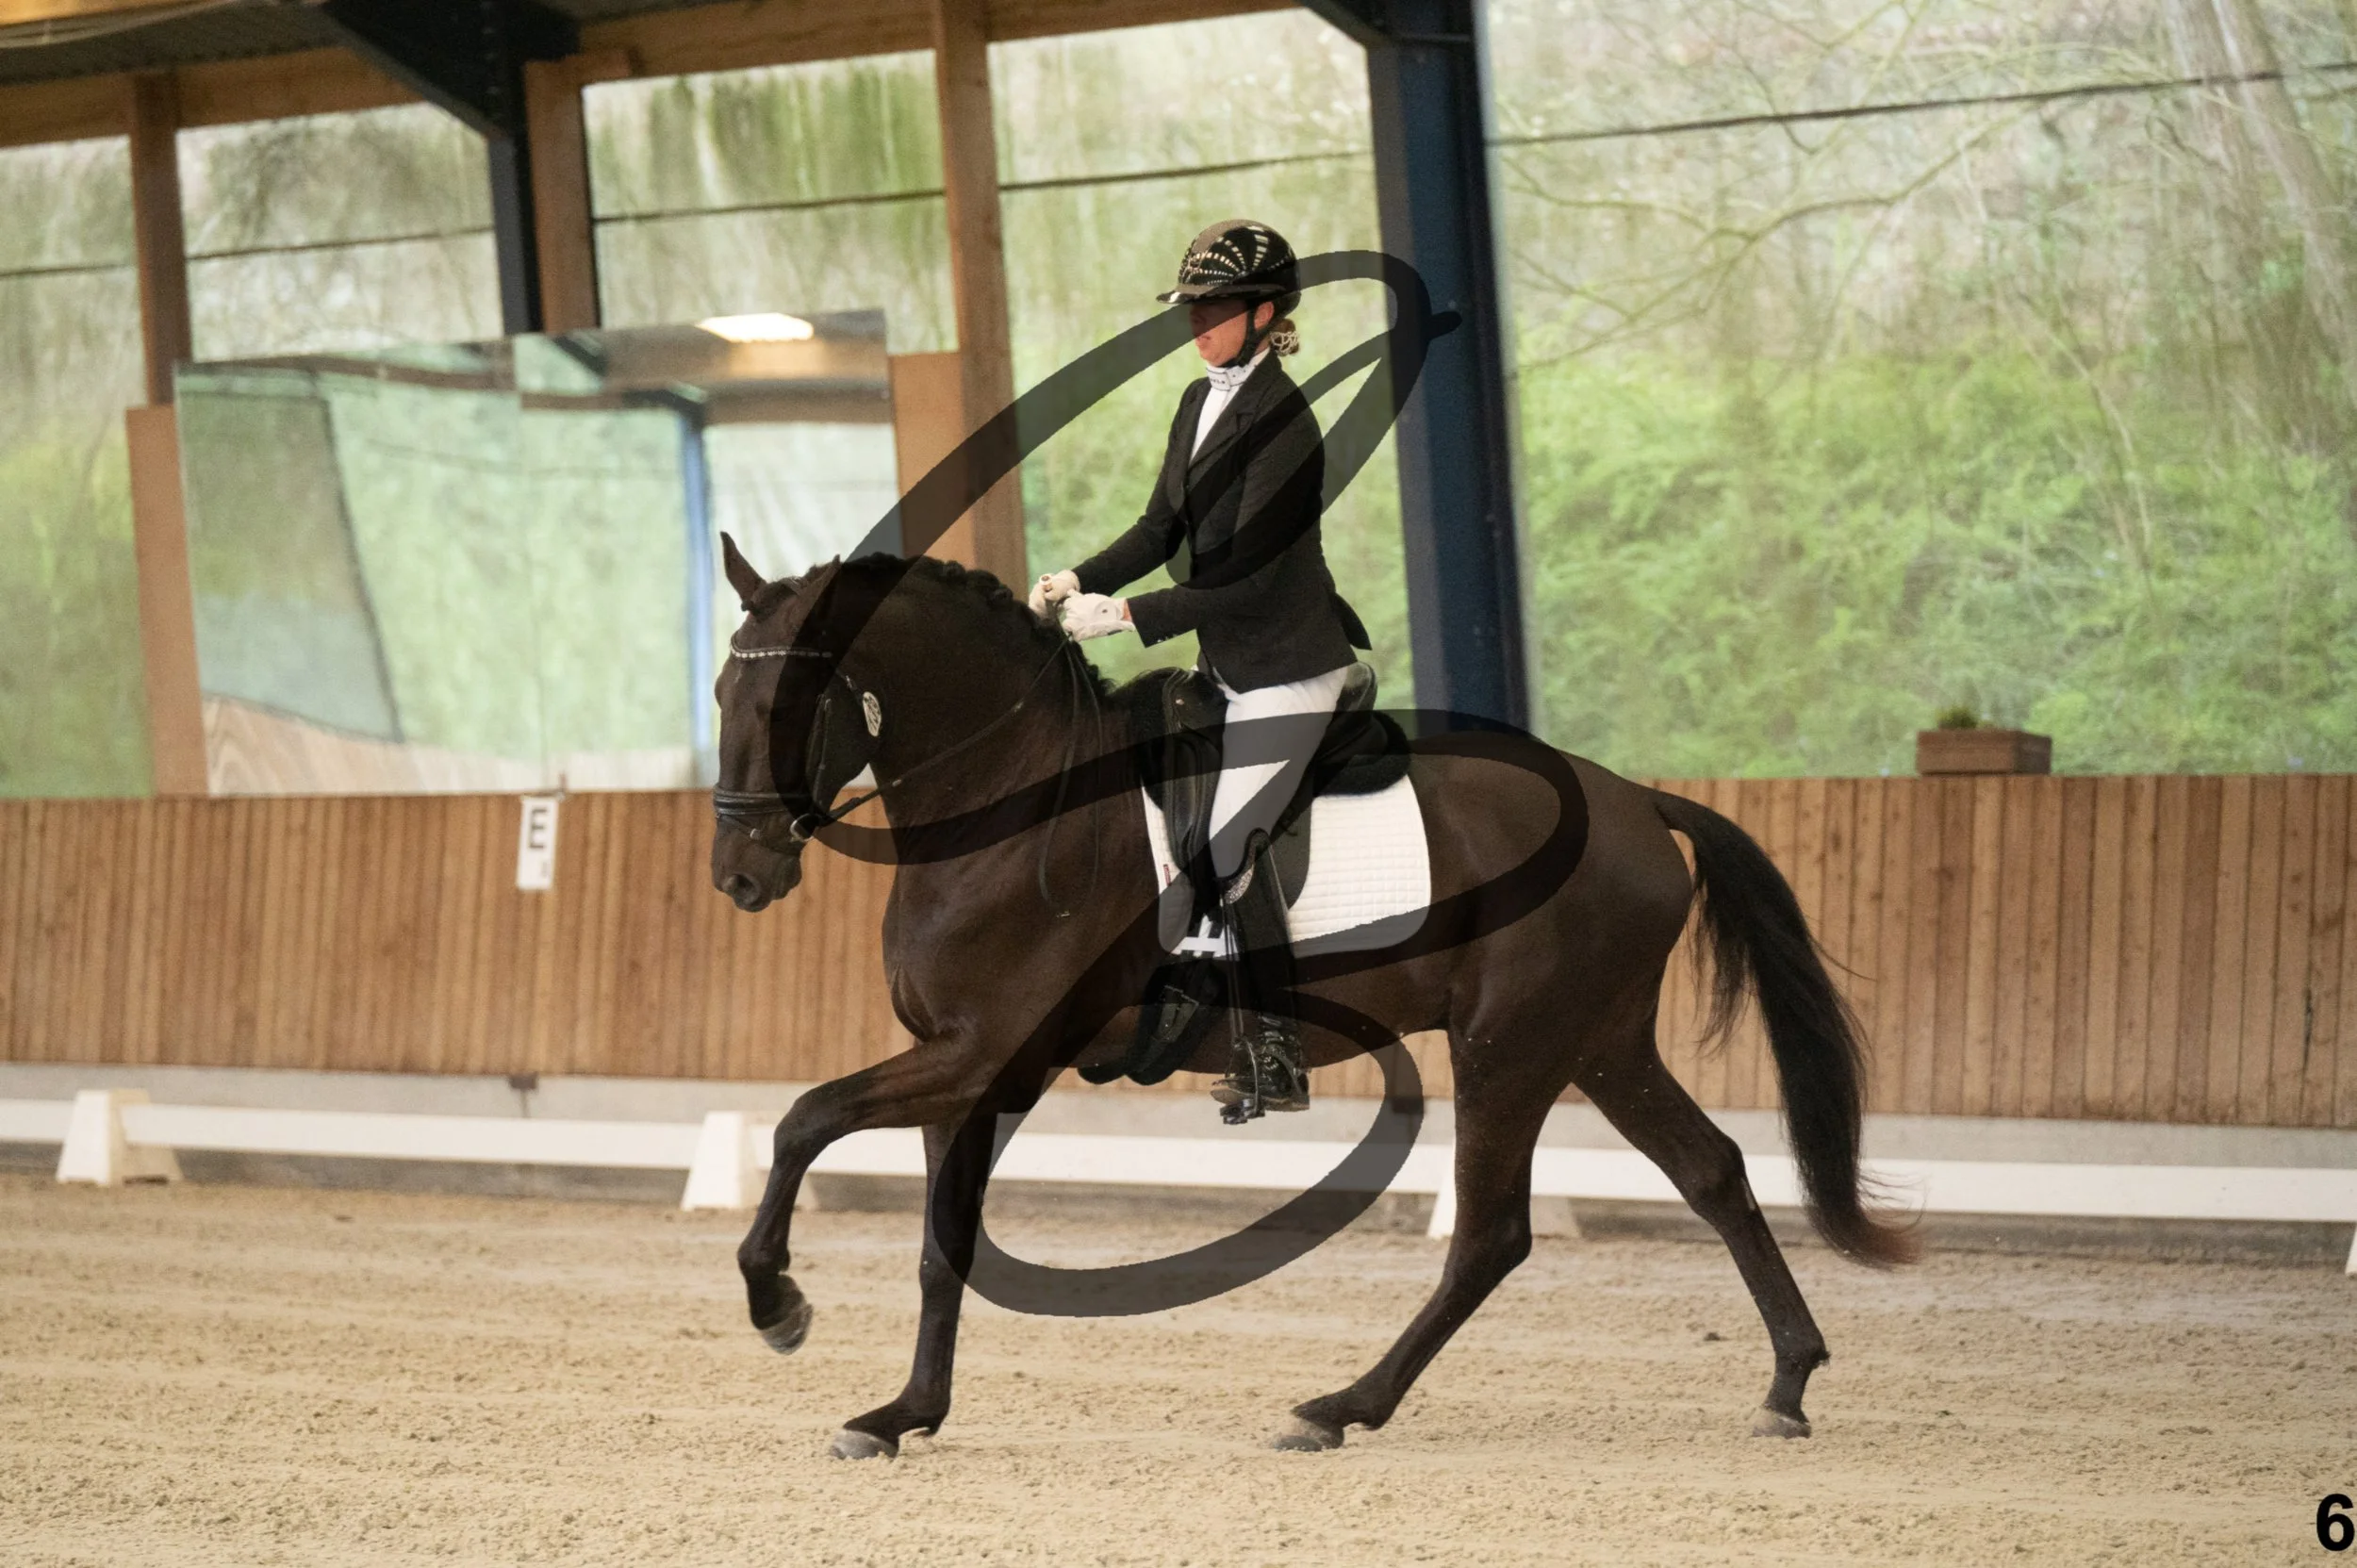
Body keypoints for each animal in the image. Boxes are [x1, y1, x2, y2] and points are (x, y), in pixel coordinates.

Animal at [707, 542, 1915, 1461]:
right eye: (723, 696)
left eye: (786, 703)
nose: (738, 876)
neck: (1008, 799)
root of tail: (1635, 803)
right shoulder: (964, 1067)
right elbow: (937, 1244)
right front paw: (902, 1414)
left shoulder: (983, 1054)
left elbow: (802, 1119)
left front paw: (778, 1308)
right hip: (1600, 1042)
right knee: (1710, 1171)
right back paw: (1788, 1381)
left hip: (1509, 1047)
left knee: (1490, 1235)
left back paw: (1341, 1406)